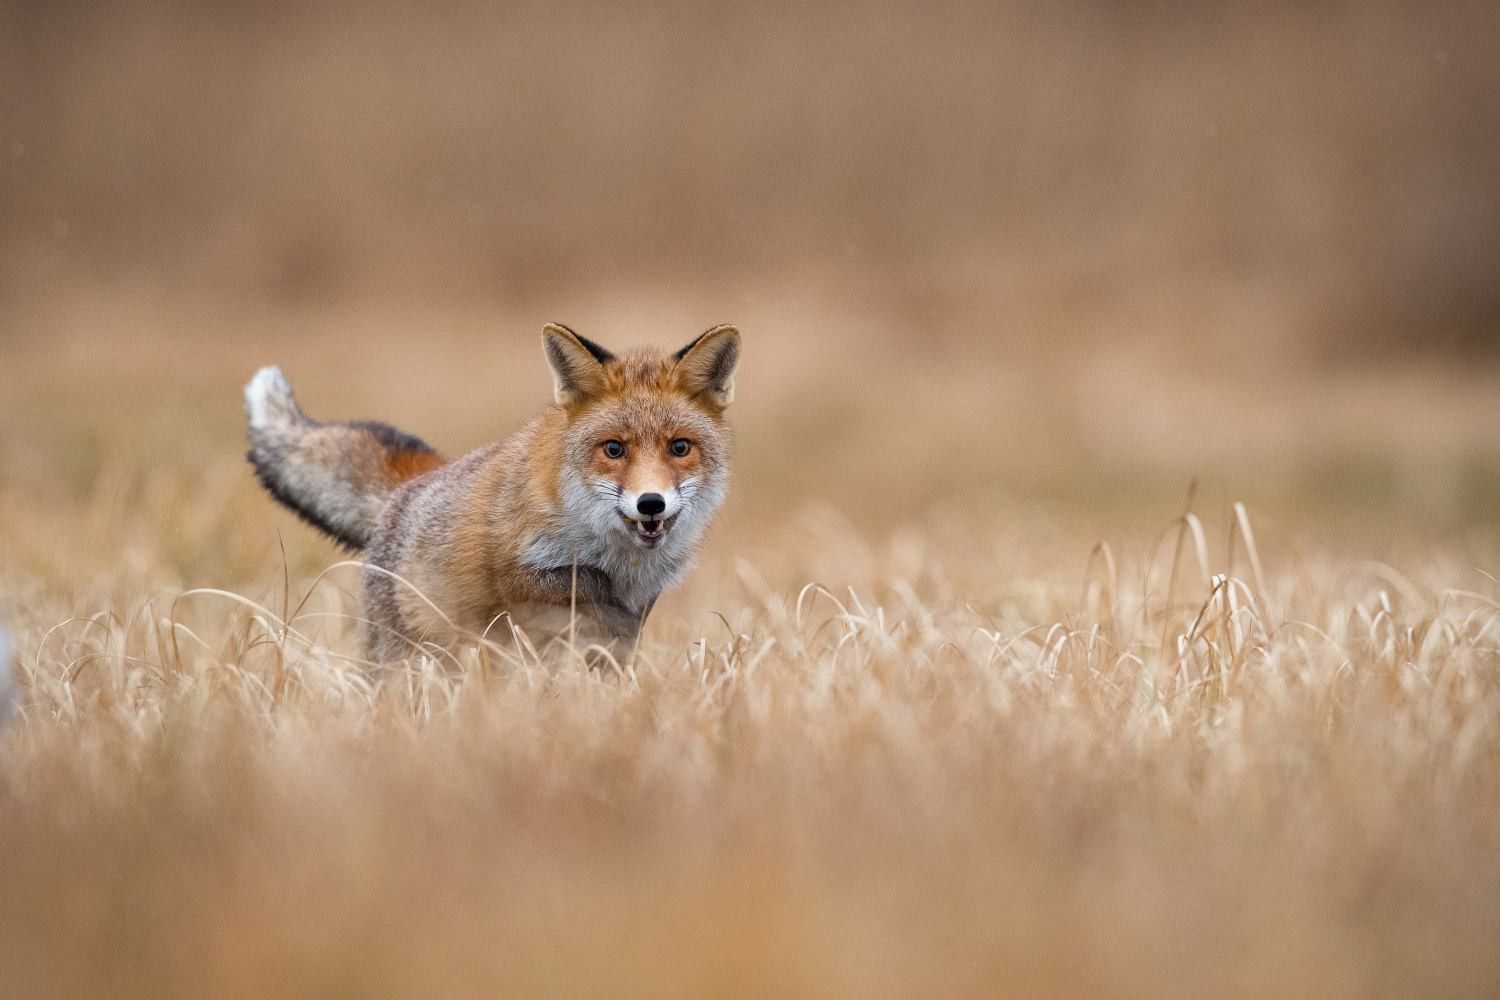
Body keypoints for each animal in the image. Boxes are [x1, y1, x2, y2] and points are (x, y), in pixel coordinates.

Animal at [243, 322, 741, 665]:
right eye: (614, 449)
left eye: (680, 448)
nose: (650, 503)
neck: (622, 558)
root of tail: (410, 485)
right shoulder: (515, 571)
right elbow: (587, 588)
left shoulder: (647, 592)